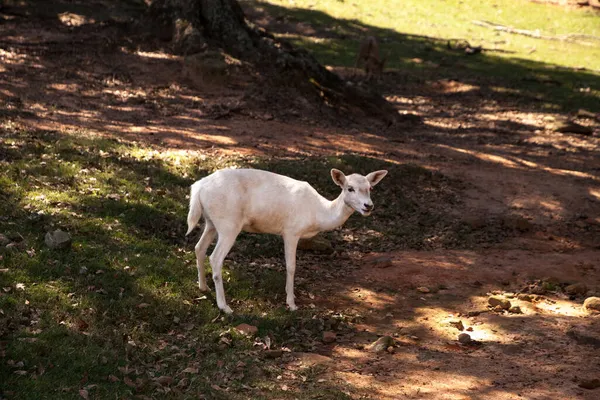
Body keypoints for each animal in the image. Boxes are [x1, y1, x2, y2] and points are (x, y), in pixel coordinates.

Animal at [185, 167, 386, 314]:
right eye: (349, 188)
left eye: (370, 188)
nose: (368, 206)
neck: (317, 213)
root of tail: (198, 187)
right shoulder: (291, 231)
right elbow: (291, 266)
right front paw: (291, 303)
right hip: (228, 223)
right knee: (215, 258)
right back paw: (225, 307)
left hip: (211, 222)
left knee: (199, 247)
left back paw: (203, 288)